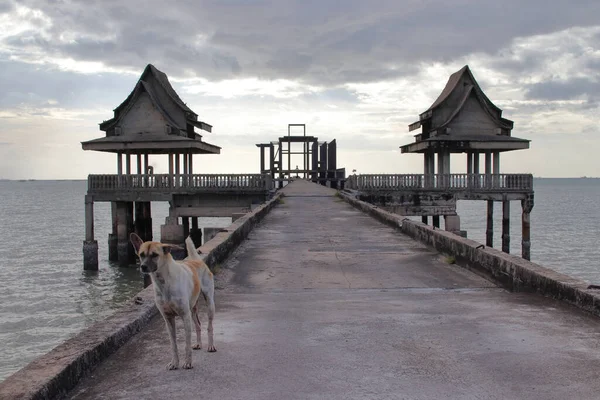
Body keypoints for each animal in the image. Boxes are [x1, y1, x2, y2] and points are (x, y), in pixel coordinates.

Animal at [130, 233, 217, 370]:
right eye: (141, 254)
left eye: (154, 255)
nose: (143, 266)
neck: (164, 281)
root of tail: (197, 260)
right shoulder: (168, 319)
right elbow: (173, 344)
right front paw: (174, 363)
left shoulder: (185, 316)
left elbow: (186, 343)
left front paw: (188, 362)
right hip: (193, 309)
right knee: (198, 325)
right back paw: (198, 344)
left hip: (209, 304)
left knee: (209, 326)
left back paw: (211, 345)